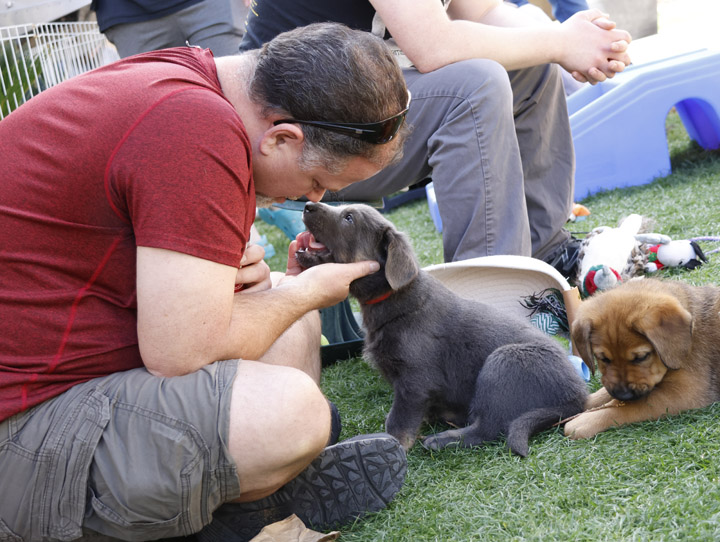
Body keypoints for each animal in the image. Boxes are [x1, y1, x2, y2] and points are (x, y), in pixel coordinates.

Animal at [296, 202, 588, 456]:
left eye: (349, 218)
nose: (307, 205)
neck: (394, 301)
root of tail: (576, 397)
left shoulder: (414, 382)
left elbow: (398, 421)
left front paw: (392, 445)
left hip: (503, 362)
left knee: (488, 428)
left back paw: (443, 440)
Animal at [564, 278, 720, 440]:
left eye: (642, 357)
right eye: (603, 358)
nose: (623, 395)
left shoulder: (685, 392)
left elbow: (628, 407)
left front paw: (586, 421)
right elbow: (603, 394)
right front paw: (585, 402)